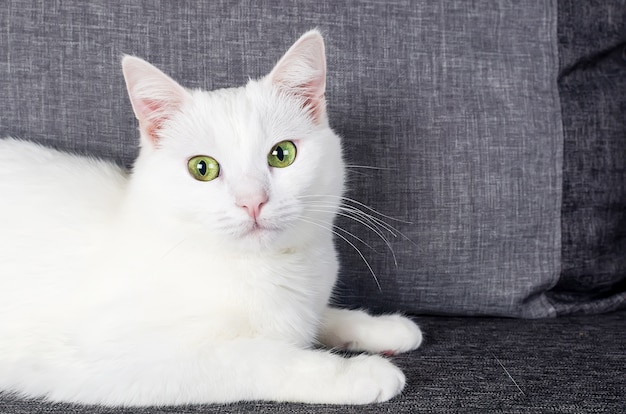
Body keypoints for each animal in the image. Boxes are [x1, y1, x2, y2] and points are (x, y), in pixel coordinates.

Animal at [0, 30, 422, 406]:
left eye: (282, 154)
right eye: (202, 168)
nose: (253, 201)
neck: (265, 270)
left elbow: (321, 317)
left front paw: (381, 327)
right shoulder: (113, 358)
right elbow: (261, 357)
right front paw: (357, 372)